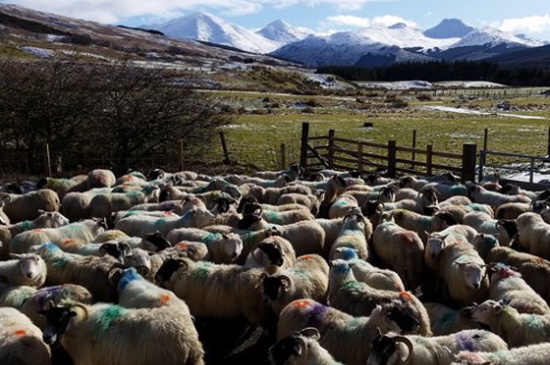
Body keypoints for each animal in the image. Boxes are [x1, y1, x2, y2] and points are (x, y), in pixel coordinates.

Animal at [40, 300, 206, 364]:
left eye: (62, 318)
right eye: (48, 317)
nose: (46, 337)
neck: (78, 326)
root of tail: (188, 340)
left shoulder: (86, 360)